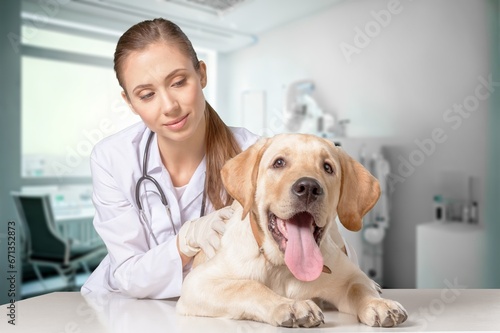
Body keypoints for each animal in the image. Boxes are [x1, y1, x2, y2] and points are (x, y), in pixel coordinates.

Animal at [178, 133, 408, 326]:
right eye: (279, 163)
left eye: (328, 167)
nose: (308, 188)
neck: (283, 268)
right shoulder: (198, 283)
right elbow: (249, 286)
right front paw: (290, 305)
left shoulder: (348, 276)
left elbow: (358, 286)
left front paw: (378, 304)